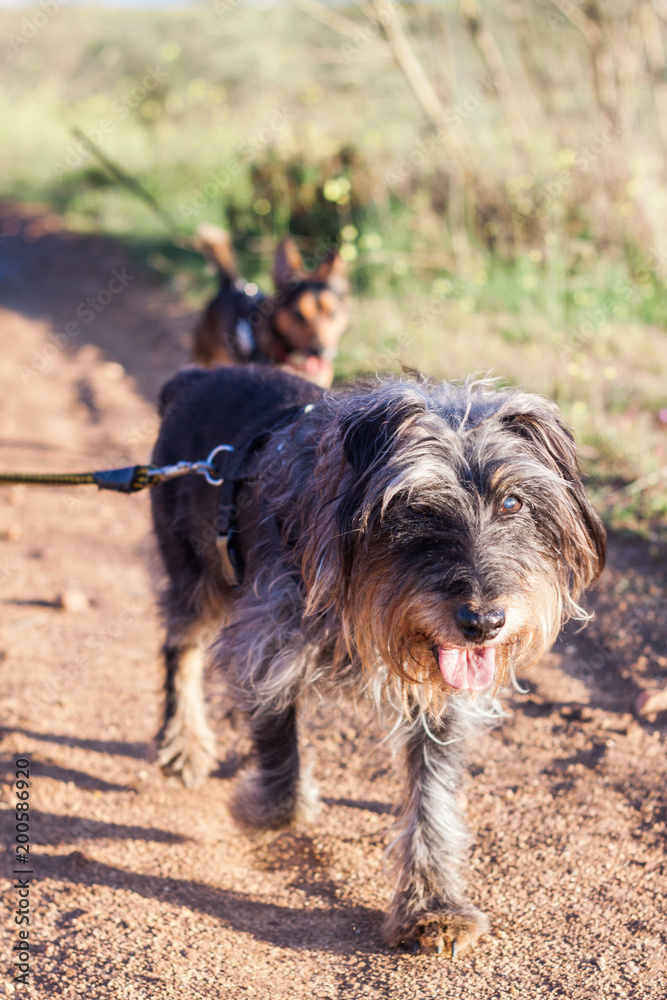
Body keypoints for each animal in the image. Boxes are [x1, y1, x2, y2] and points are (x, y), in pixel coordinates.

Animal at [150, 364, 604, 956]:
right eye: (417, 507)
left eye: (513, 503)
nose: (484, 622)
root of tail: (196, 375)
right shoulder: (267, 648)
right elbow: (280, 756)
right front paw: (265, 812)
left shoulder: (443, 703)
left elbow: (432, 802)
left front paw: (433, 906)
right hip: (194, 576)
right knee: (179, 650)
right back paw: (182, 741)